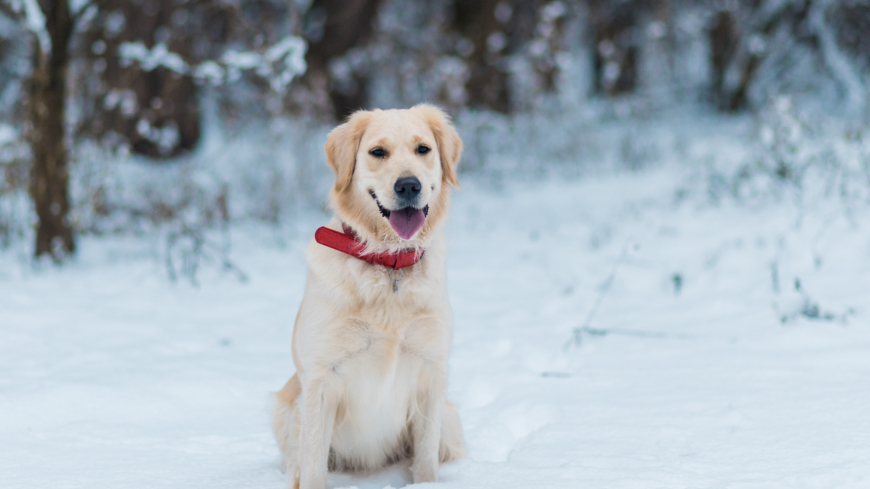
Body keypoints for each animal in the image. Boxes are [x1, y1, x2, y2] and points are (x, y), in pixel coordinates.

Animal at [276, 104, 470, 488]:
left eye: (423, 149)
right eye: (378, 152)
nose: (408, 185)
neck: (389, 263)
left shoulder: (432, 370)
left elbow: (425, 460)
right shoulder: (321, 377)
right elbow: (313, 466)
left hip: (450, 419)